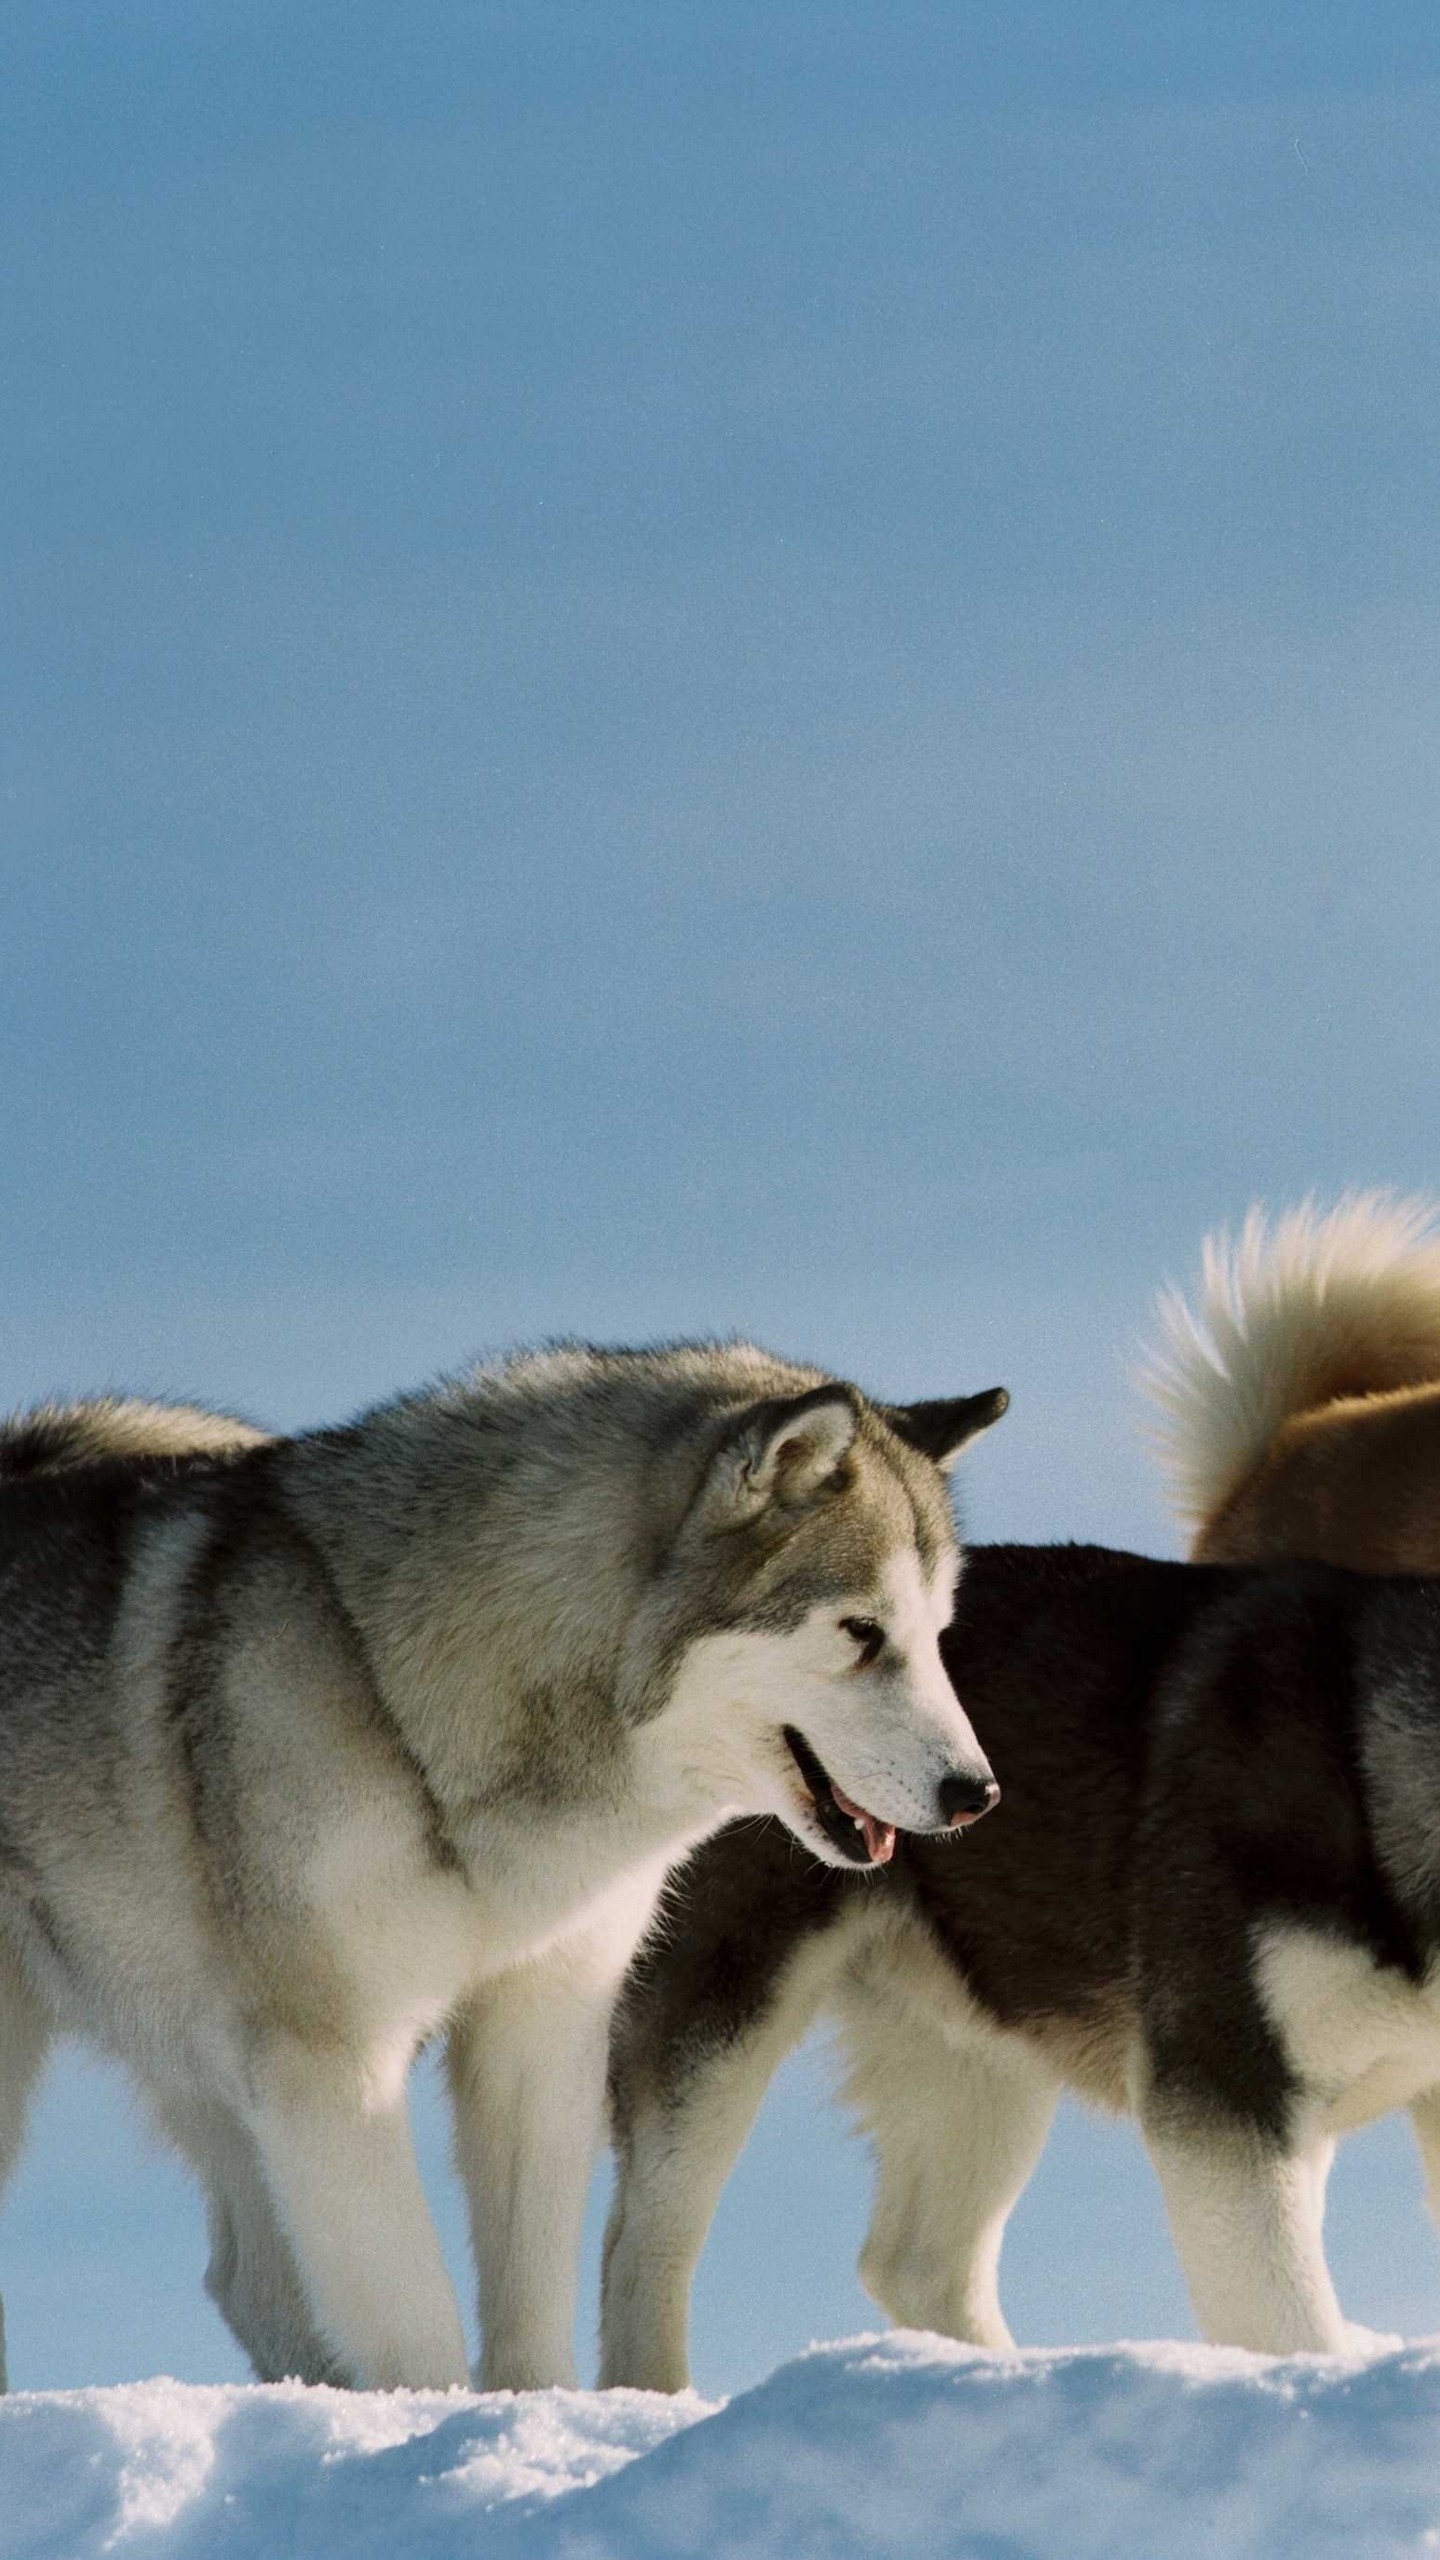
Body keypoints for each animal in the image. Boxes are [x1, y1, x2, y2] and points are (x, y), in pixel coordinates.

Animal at [0, 1361, 999, 2396]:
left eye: (936, 1634)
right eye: (861, 1632)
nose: (977, 1794)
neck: (397, 1690)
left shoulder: (538, 2027)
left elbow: (527, 2318)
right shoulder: (331, 2061)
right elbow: (415, 2329)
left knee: (248, 2281)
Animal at [599, 1536, 1440, 2396]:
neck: (1365, 1774)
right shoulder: (1222, 2083)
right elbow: (1289, 2323)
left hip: (978, 2046)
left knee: (916, 2263)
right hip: (721, 2013)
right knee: (642, 2247)